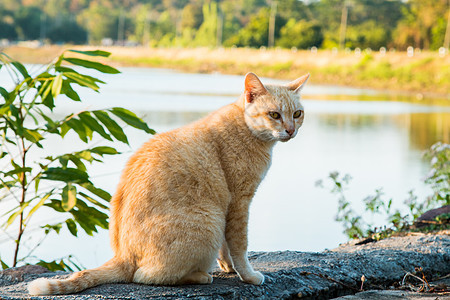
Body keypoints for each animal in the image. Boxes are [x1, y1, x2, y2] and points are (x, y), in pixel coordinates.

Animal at [28, 71, 310, 294]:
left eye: (297, 114)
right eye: (274, 114)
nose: (291, 130)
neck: (246, 127)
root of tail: (122, 256)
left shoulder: (228, 207)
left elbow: (227, 247)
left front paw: (228, 267)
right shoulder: (239, 203)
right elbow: (239, 245)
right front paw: (248, 275)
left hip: (214, 218)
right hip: (209, 221)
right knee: (146, 277)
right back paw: (200, 276)